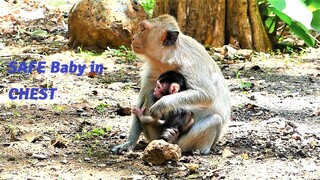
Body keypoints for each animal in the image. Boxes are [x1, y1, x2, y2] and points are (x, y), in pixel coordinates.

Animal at [112, 14, 230, 155]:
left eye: (143, 29)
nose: (134, 38)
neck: (169, 59)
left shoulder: (190, 64)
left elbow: (207, 95)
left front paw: (161, 105)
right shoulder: (152, 71)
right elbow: (140, 103)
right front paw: (129, 143)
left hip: (185, 142)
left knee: (215, 119)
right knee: (149, 94)